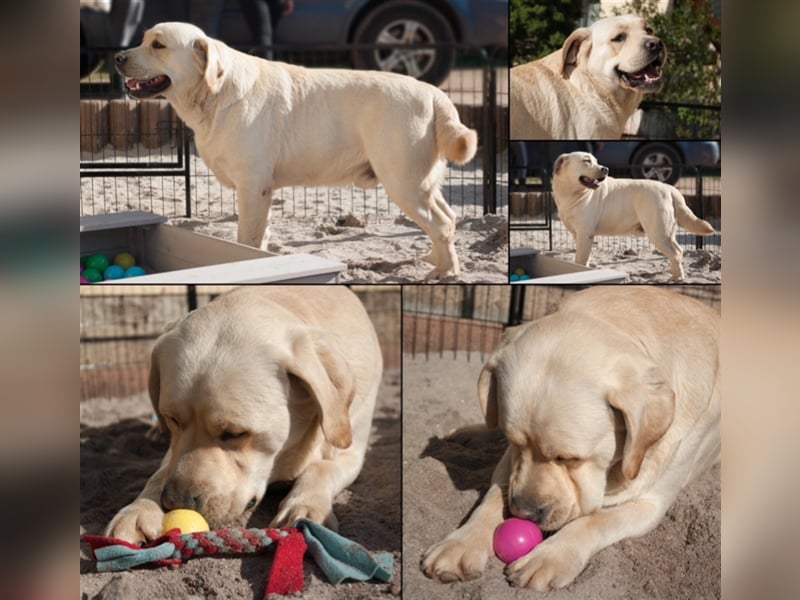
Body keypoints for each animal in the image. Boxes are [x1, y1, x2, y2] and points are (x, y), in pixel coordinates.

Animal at [105, 286, 382, 544]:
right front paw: (137, 510)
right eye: (173, 419)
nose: (175, 501)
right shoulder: (173, 449)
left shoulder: (351, 451)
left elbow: (321, 467)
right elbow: (160, 472)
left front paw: (305, 507)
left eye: (235, 433)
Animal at [111, 21, 476, 278]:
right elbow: (260, 238)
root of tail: (435, 93)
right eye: (143, 39)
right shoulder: (264, 191)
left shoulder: (252, 187)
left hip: (403, 181)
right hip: (423, 182)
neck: (214, 92)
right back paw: (434, 259)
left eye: (158, 45)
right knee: (449, 217)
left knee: (441, 224)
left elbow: (246, 240)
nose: (117, 58)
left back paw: (446, 272)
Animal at [422, 286, 720, 592]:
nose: (523, 513)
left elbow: (596, 519)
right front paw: (461, 544)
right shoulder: (510, 463)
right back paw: (467, 434)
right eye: (516, 443)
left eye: (569, 458)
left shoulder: (650, 504)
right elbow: (494, 496)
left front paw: (548, 557)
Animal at [552, 152, 716, 278]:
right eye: (586, 161)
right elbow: (583, 259)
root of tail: (670, 189)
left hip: (658, 232)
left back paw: (677, 278)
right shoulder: (579, 235)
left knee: (675, 253)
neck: (573, 193)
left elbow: (580, 260)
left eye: (596, 162)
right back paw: (673, 273)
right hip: (667, 232)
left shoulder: (585, 234)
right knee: (679, 251)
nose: (605, 169)